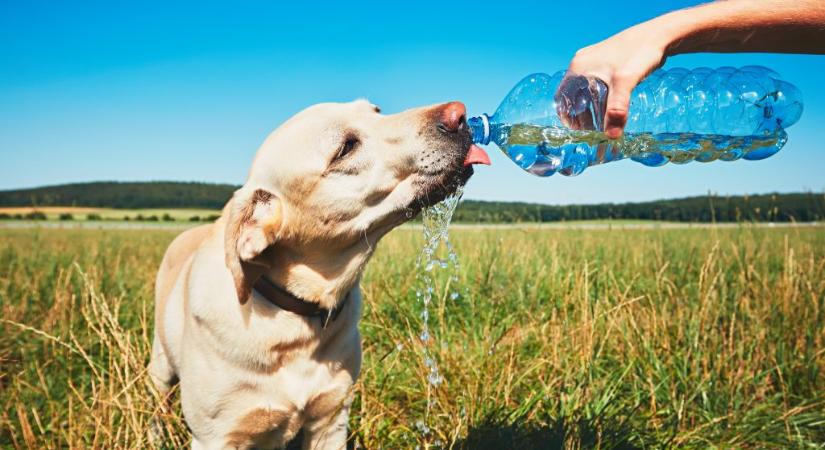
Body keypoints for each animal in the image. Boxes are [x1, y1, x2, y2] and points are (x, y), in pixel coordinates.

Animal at [149, 100, 490, 448]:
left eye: (376, 110)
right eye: (346, 148)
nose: (459, 114)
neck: (296, 321)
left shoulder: (331, 418)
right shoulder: (216, 436)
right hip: (160, 364)